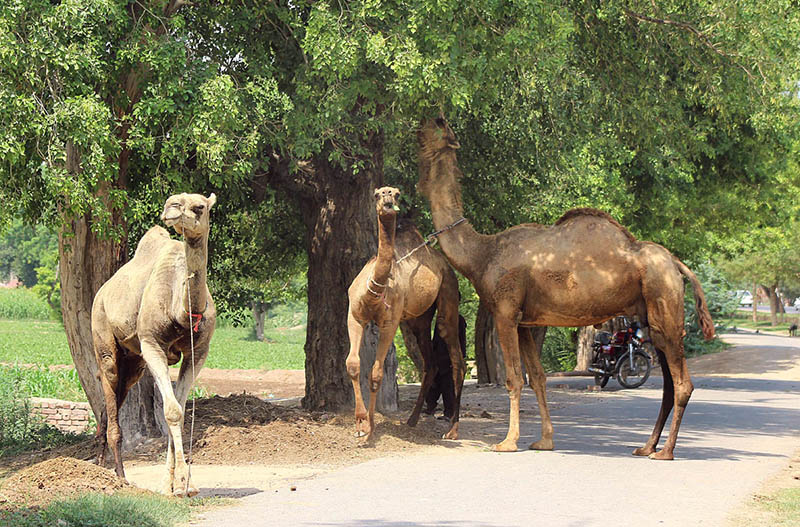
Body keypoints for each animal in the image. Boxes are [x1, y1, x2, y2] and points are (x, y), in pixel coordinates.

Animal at [91, 193, 217, 496]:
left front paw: (176, 484)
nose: (171, 207)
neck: (183, 313)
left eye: (200, 206)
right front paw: (179, 485)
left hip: (133, 364)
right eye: (176, 202)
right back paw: (120, 477)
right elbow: (170, 411)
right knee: (109, 383)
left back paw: (103, 466)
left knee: (114, 398)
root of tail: (101, 292)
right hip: (104, 336)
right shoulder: (152, 344)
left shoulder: (198, 352)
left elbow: (180, 409)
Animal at [344, 186, 462, 442]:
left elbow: (376, 373)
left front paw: (370, 427)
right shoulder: (355, 317)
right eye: (377, 194)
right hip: (417, 320)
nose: (389, 195)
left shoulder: (389, 322)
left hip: (448, 290)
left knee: (456, 358)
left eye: (397, 193)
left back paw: (452, 430)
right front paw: (359, 424)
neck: (374, 290)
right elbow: (353, 364)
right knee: (430, 363)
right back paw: (412, 420)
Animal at [416, 117, 716, 460]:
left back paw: (665, 451)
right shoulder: (525, 321)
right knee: (668, 381)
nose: (423, 124)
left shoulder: (505, 312)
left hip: (664, 302)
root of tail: (675, 263)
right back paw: (646, 447)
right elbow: (537, 377)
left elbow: (514, 378)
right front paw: (544, 440)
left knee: (682, 383)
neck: (482, 253)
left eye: (436, 129)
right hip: (653, 315)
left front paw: (507, 442)